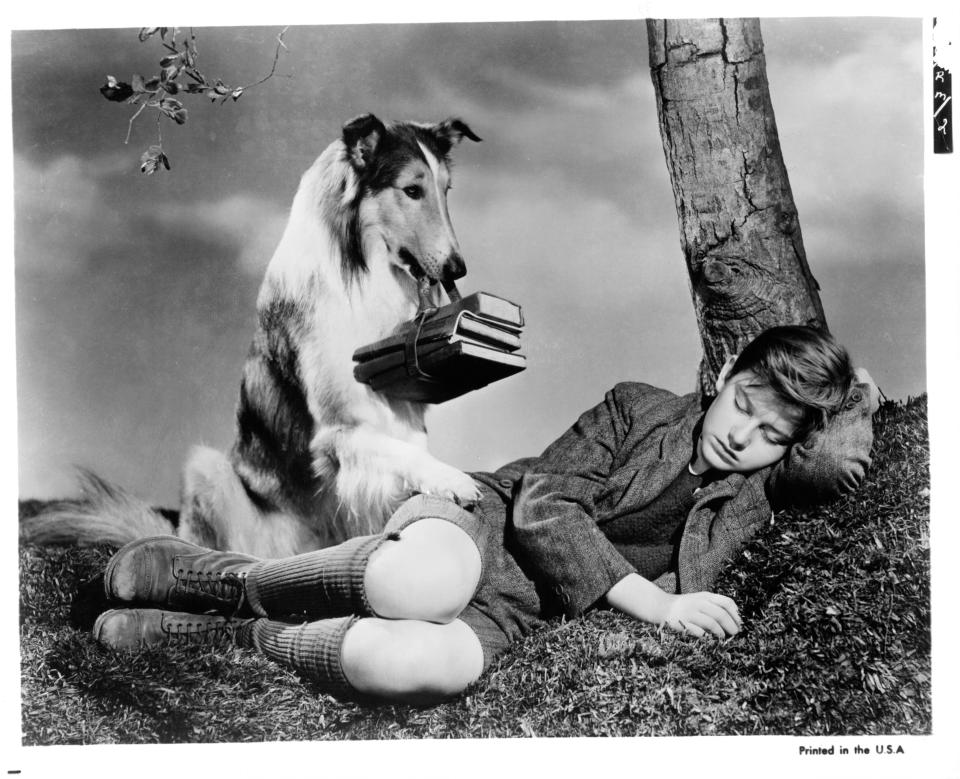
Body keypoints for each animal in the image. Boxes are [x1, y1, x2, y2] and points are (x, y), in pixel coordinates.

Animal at [20, 112, 488, 556]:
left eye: (445, 190)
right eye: (412, 190)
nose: (458, 268)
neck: (365, 274)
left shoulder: (401, 419)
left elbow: (407, 453)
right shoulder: (337, 430)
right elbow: (399, 452)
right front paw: (455, 480)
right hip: (207, 470)